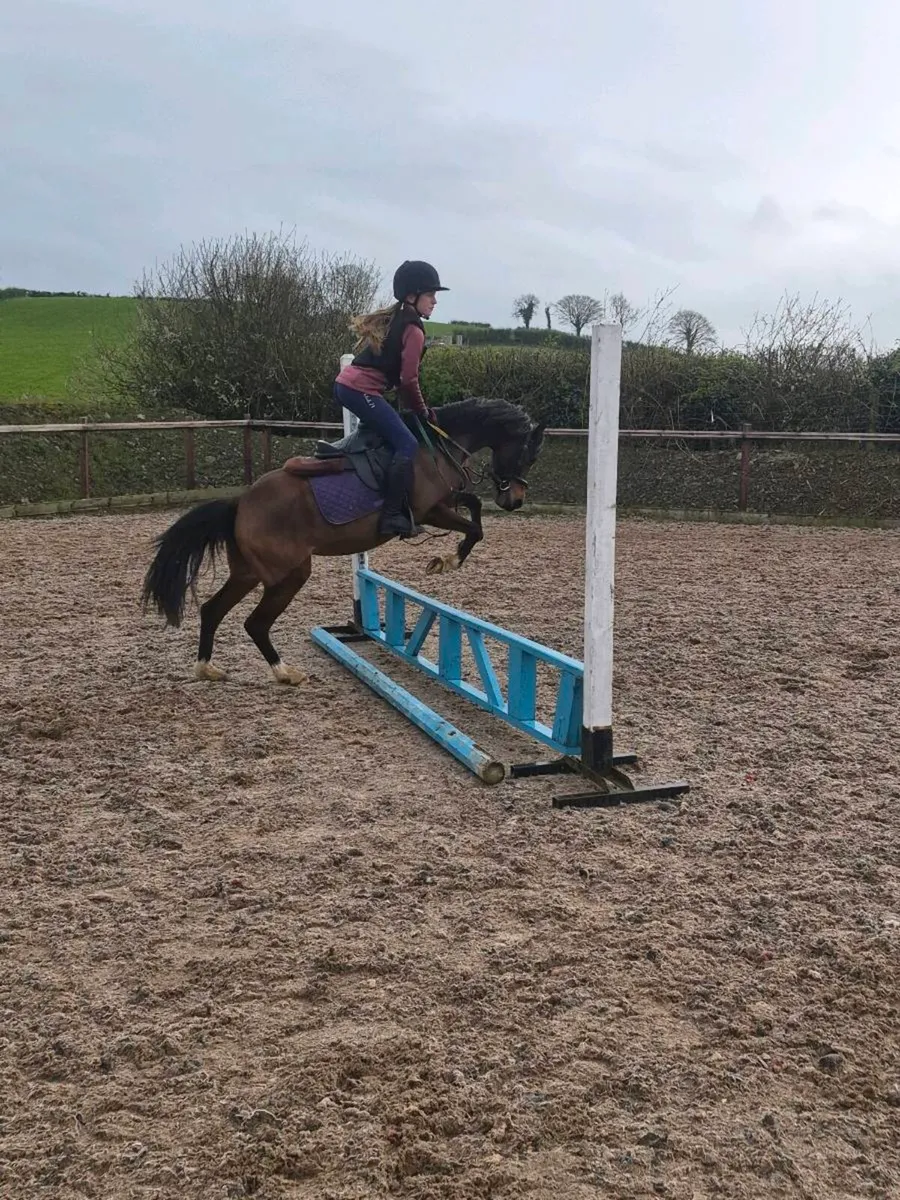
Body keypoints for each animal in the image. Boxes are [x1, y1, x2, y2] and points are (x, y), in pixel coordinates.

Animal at [141, 398, 546, 684]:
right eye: (528, 455)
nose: (515, 501)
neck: (435, 445)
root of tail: (240, 503)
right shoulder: (429, 511)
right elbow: (475, 529)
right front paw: (447, 561)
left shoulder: (445, 502)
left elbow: (474, 506)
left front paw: (447, 558)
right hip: (289, 574)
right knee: (255, 623)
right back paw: (284, 673)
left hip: (248, 573)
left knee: (213, 610)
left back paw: (206, 668)